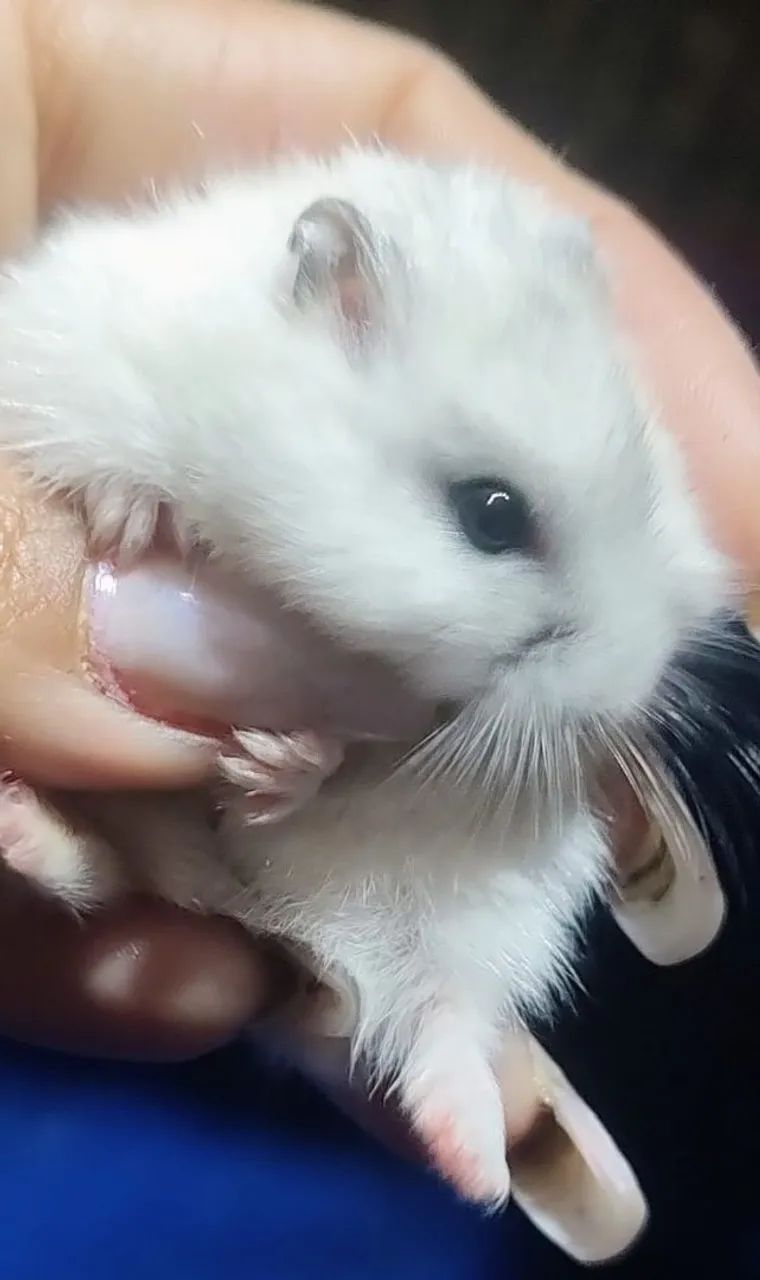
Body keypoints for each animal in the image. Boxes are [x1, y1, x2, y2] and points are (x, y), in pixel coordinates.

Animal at [0, 147, 729, 1206]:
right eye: (494, 512)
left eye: (645, 487)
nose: (623, 697)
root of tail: (308, 944)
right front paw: (133, 522)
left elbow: (362, 758)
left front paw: (278, 768)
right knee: (102, 870)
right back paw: (24, 822)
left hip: (498, 909)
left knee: (444, 1016)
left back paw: (476, 1165)